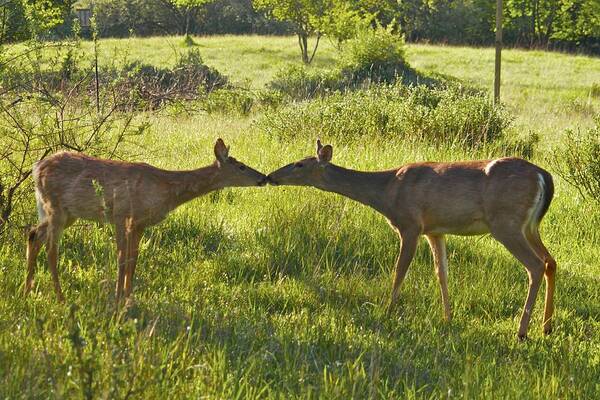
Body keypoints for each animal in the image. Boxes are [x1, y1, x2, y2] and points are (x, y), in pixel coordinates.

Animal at [24, 138, 268, 304]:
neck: (167, 189)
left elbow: (133, 259)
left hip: (66, 213)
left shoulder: (139, 223)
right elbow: (122, 258)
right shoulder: (122, 214)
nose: (263, 178)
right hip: (55, 207)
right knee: (51, 249)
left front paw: (128, 298)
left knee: (34, 234)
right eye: (241, 166)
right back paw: (60, 297)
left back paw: (27, 290)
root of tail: (36, 168)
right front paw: (118, 299)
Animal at [268, 139, 556, 340]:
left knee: (535, 265)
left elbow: (400, 270)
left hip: (506, 223)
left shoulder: (410, 225)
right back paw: (547, 326)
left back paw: (522, 331)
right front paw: (447, 318)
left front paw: (387, 312)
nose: (271, 176)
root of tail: (544, 176)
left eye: (299, 164)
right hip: (530, 226)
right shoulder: (434, 230)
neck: (386, 192)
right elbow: (441, 273)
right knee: (551, 262)